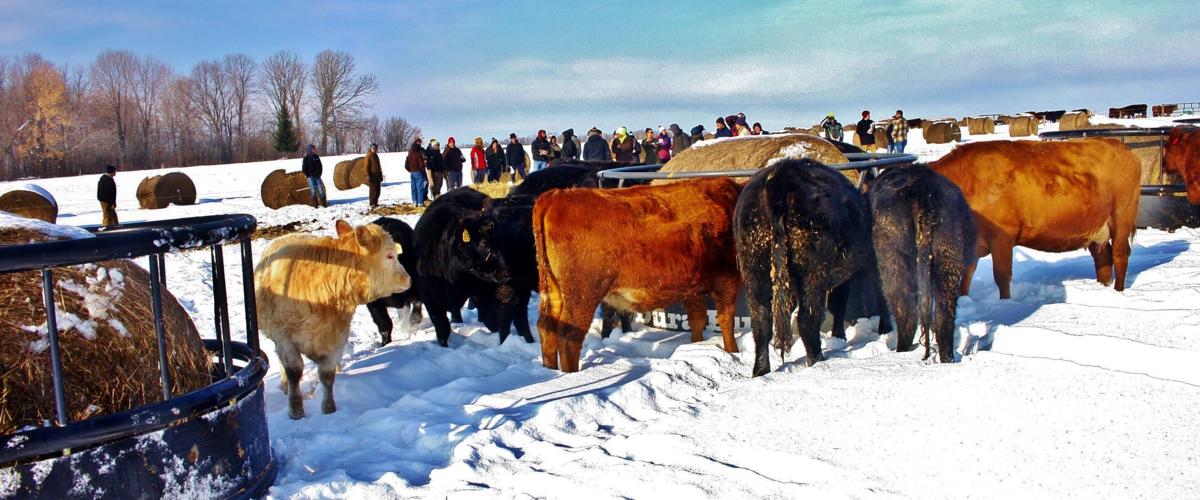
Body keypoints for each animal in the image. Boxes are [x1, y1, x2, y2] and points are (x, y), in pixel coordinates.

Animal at [255, 220, 411, 419]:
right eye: (390, 255)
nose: (408, 279)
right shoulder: (283, 337)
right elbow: (293, 371)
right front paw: (296, 410)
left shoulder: (337, 336)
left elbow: (327, 375)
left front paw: (329, 409)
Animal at [534, 178, 743, 373]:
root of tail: (555, 196)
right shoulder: (728, 279)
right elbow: (726, 320)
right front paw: (733, 353)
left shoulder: (693, 287)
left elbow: (697, 319)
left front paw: (696, 347)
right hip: (582, 294)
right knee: (569, 336)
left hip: (554, 291)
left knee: (547, 328)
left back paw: (549, 372)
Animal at [735, 159, 889, 377]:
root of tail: (779, 177)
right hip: (813, 272)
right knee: (808, 318)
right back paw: (817, 361)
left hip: (754, 269)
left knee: (762, 320)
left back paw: (761, 371)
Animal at [869, 164, 976, 363]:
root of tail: (923, 192)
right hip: (948, 256)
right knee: (944, 315)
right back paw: (947, 360)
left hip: (894, 262)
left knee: (906, 311)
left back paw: (901, 352)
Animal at [928, 139, 1141, 299]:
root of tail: (1121, 146)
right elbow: (966, 277)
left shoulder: (1002, 237)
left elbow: (1002, 277)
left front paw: (1005, 305)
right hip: (1096, 228)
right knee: (1103, 260)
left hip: (1122, 215)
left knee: (1120, 254)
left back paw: (1118, 292)